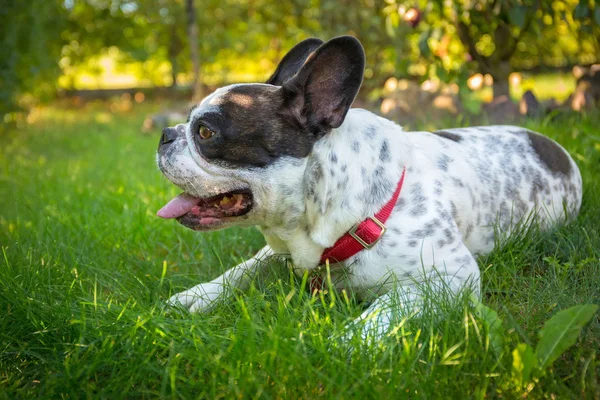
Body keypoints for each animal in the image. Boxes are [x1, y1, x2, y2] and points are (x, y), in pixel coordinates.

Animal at [155, 36, 580, 338]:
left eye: (205, 132)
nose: (165, 134)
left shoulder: (451, 277)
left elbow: (390, 305)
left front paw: (345, 347)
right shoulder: (278, 252)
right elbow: (242, 268)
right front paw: (196, 297)